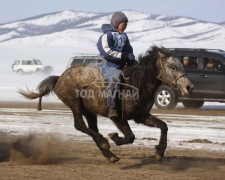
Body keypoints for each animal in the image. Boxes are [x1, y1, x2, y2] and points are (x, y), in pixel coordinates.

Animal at [18, 46, 193, 163]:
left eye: (181, 65)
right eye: (173, 67)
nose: (189, 87)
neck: (137, 83)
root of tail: (59, 78)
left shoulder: (141, 116)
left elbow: (164, 126)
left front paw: (159, 152)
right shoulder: (118, 118)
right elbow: (130, 137)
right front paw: (114, 137)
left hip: (89, 111)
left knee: (91, 128)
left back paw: (110, 155)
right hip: (74, 103)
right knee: (79, 125)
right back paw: (105, 144)